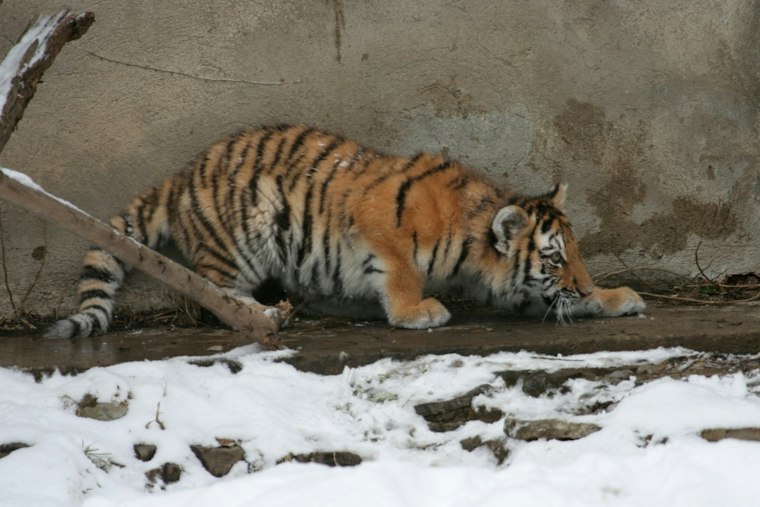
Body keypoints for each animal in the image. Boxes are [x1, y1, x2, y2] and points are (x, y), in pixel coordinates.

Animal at [45, 124, 645, 339]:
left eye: (577, 254)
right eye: (554, 258)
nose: (583, 284)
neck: (475, 240)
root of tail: (181, 176)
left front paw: (618, 297)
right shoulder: (380, 225)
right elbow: (401, 273)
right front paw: (417, 312)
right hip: (243, 241)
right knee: (215, 297)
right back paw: (262, 313)